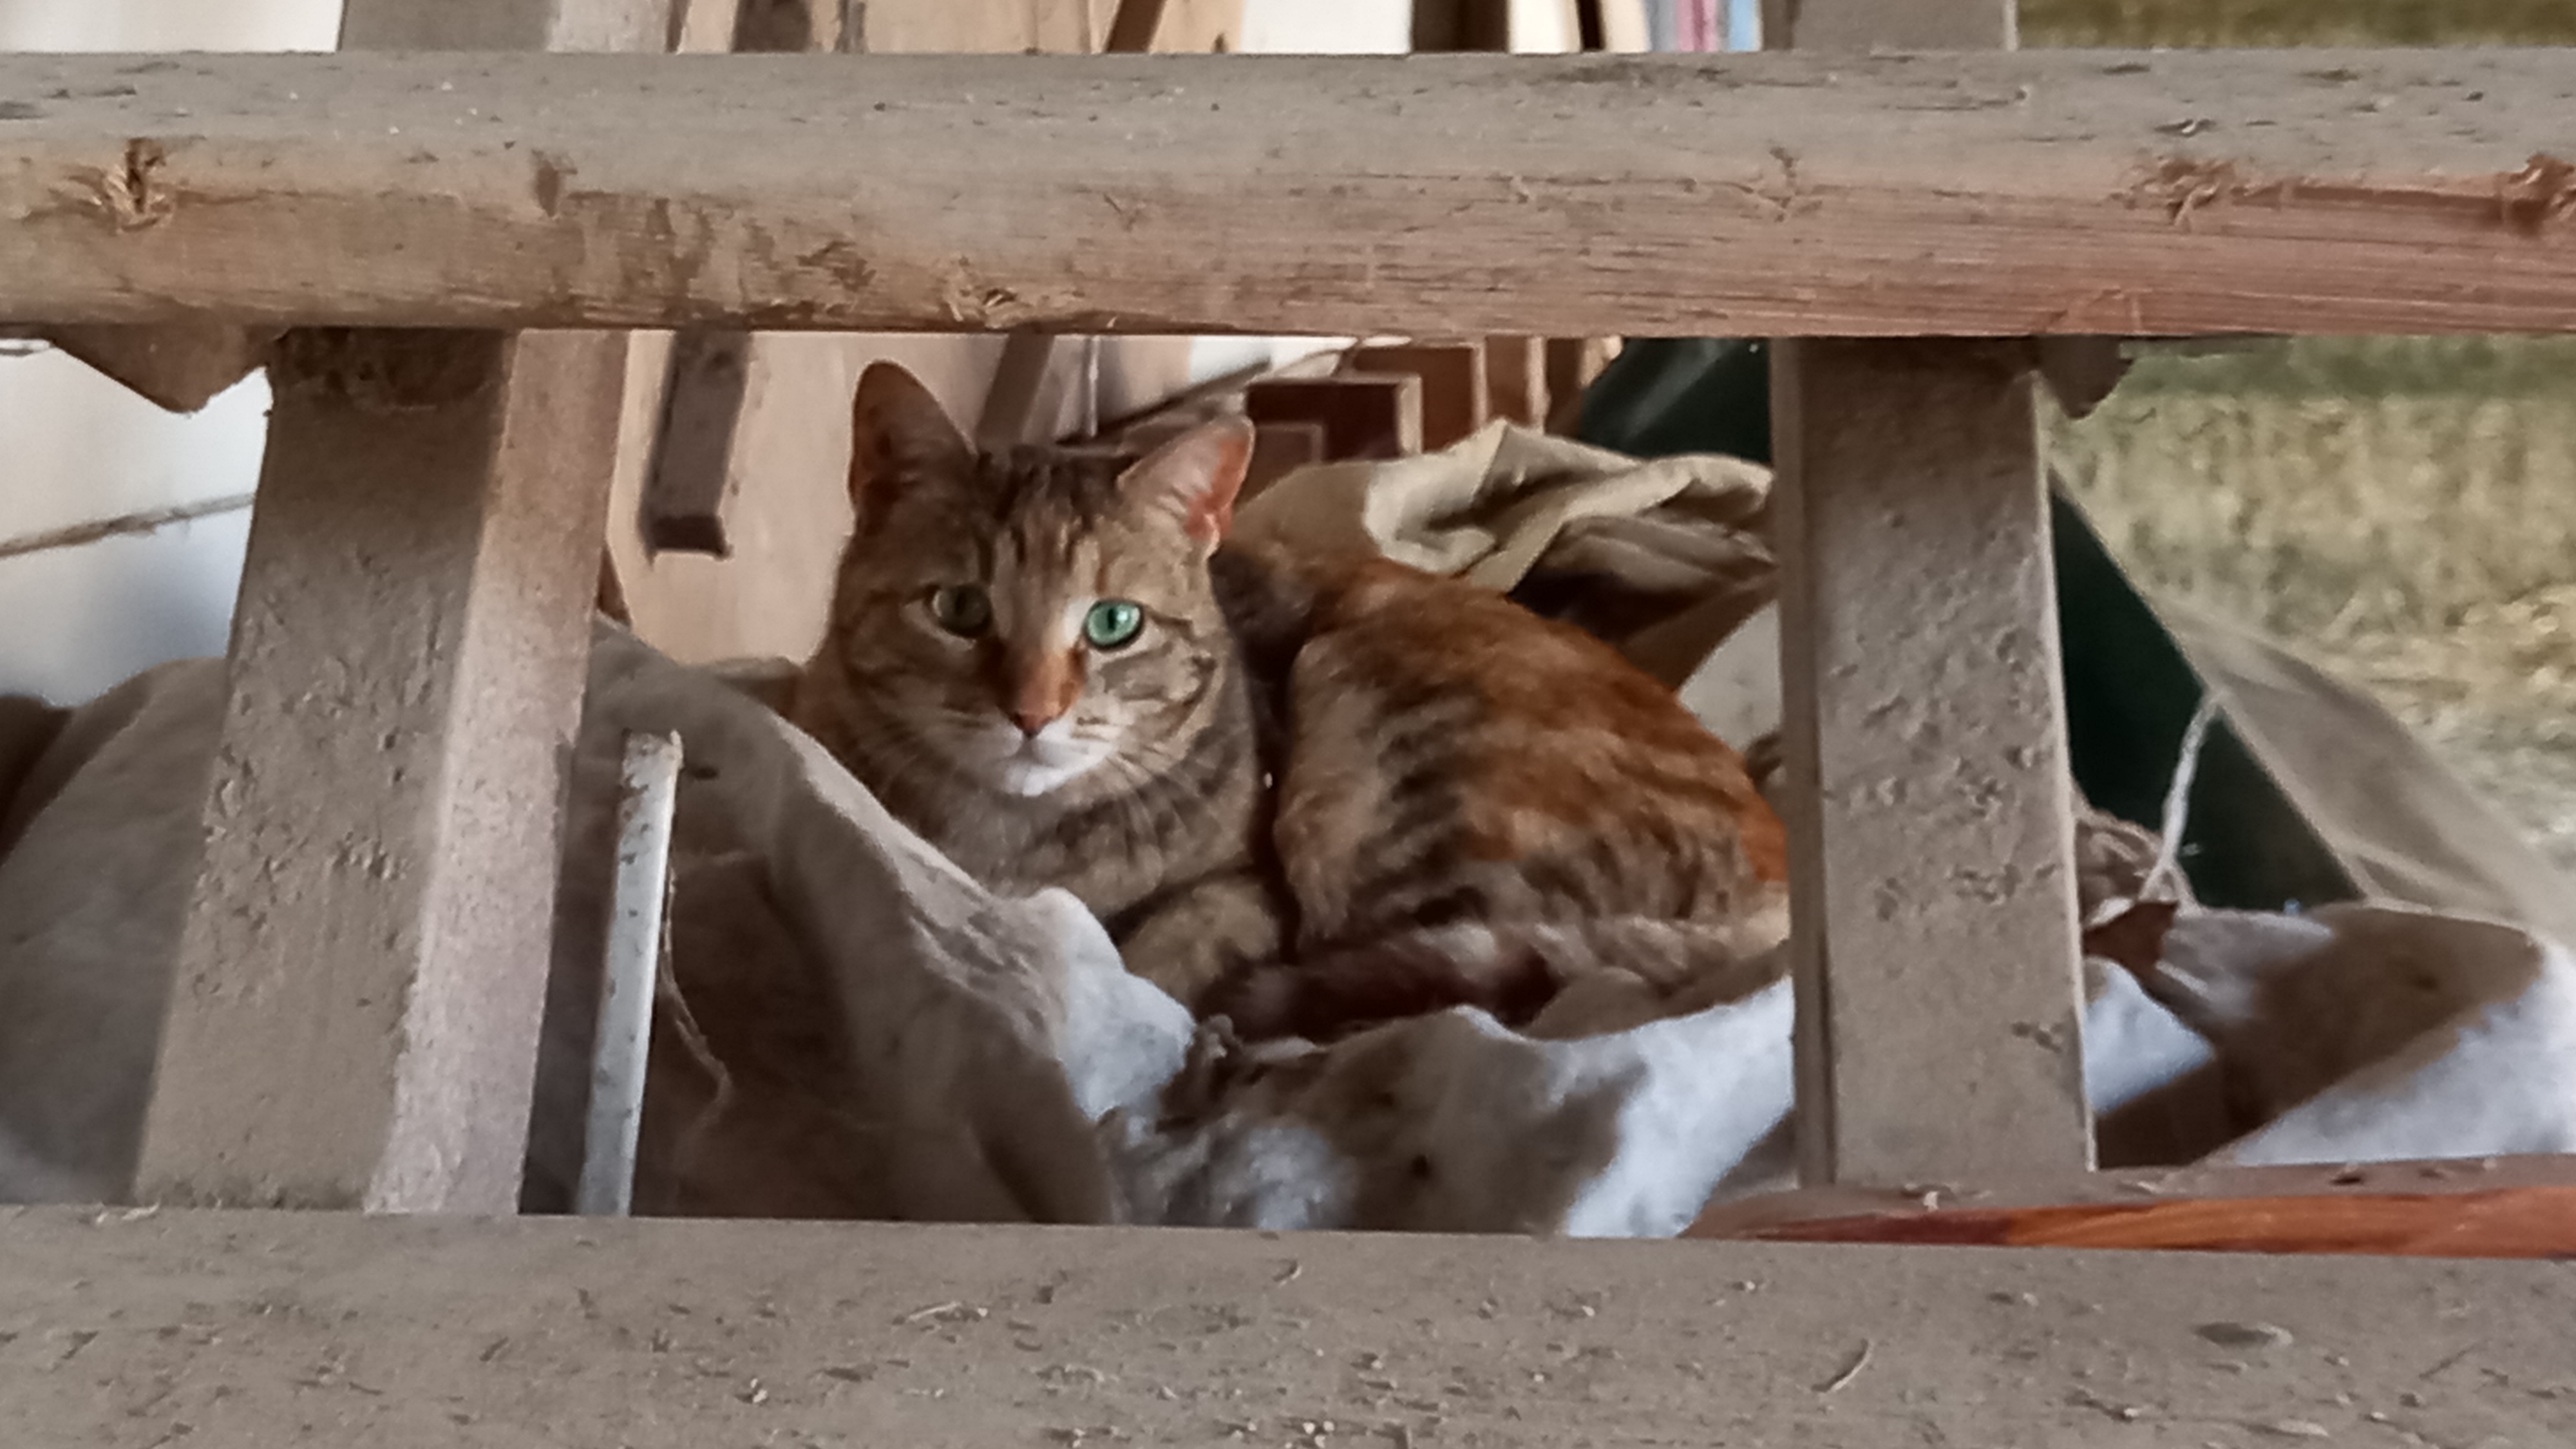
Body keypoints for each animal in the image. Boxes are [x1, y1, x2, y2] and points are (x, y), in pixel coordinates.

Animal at [793, 362, 1789, 1041]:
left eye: (1114, 624)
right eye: (959, 610)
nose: (1032, 713)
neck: (1012, 843)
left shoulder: (1247, 895)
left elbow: (1158, 962)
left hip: (1373, 744)